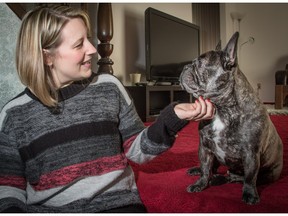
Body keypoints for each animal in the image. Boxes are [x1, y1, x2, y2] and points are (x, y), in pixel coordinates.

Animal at [180, 31, 284, 204]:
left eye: (200, 64)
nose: (184, 67)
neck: (221, 110)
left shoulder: (251, 154)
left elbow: (249, 178)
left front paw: (249, 194)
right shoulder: (205, 147)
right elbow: (205, 168)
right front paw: (200, 183)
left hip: (270, 173)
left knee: (237, 178)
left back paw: (219, 179)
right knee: (213, 168)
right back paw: (201, 172)